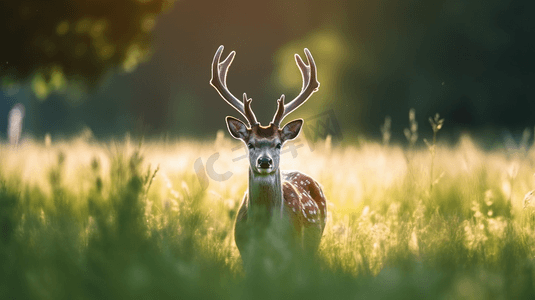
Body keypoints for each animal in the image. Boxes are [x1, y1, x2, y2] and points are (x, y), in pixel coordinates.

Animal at [210, 44, 328, 264]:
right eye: (250, 144)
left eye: (278, 144)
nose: (265, 161)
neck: (265, 233)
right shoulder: (245, 253)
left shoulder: (294, 251)